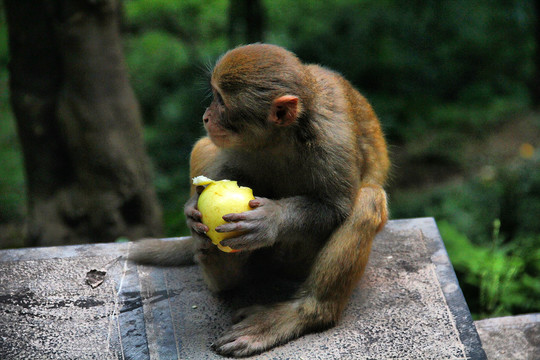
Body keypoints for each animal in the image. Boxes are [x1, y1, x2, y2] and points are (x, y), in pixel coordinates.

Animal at [132, 43, 390, 356]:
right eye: (213, 96)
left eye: (221, 101)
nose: (206, 116)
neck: (281, 136)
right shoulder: (235, 144)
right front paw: (192, 212)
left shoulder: (331, 137)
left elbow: (335, 207)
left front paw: (271, 220)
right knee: (203, 145)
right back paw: (219, 268)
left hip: (295, 263)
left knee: (369, 200)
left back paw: (304, 313)